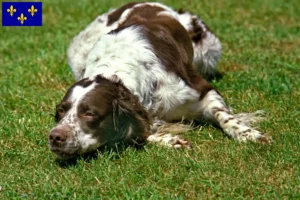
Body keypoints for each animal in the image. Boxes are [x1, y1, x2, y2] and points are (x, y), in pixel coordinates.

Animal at [48, 1, 270, 159]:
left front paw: (249, 134)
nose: (55, 136)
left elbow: (223, 115)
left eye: (90, 113)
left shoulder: (201, 89)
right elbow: (141, 132)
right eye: (61, 111)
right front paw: (171, 140)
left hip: (208, 48)